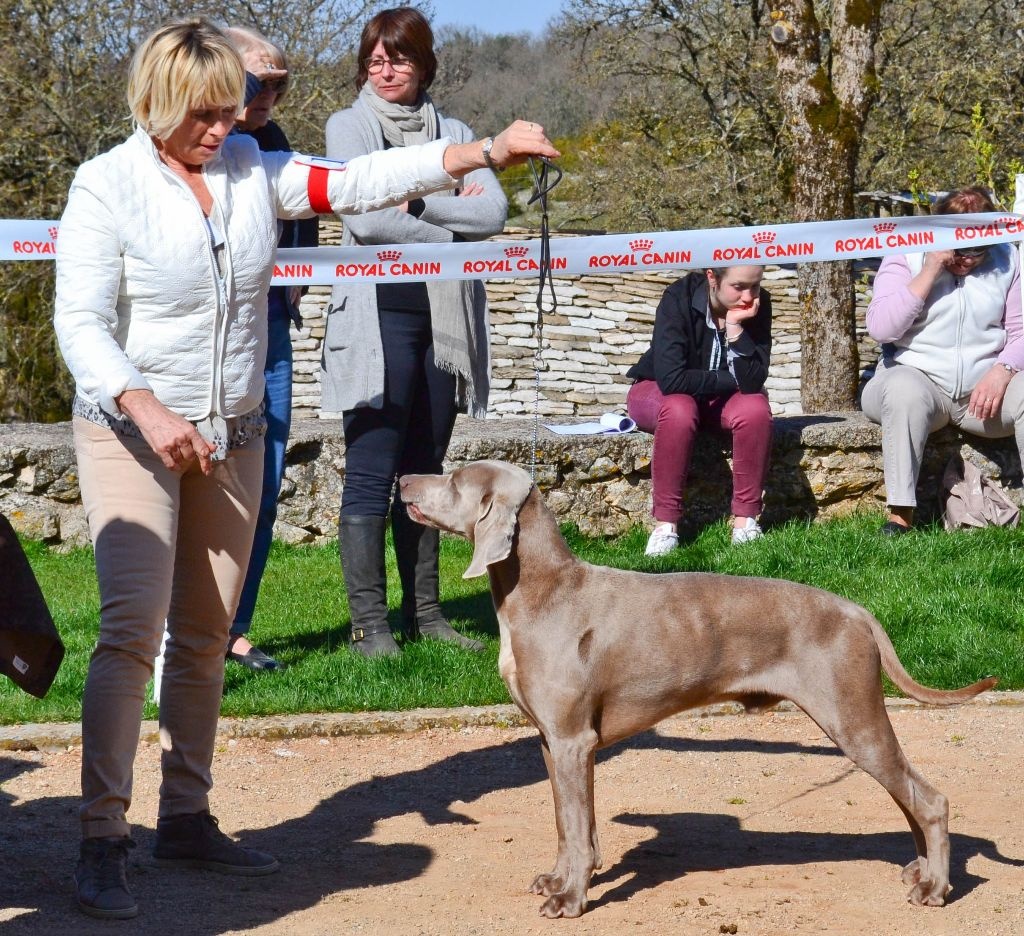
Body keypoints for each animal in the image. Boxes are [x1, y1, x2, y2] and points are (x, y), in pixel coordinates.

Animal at [397, 458, 991, 913]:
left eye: (454, 479)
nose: (402, 478)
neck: (545, 591)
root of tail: (858, 611)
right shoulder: (553, 742)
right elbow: (571, 826)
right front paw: (559, 880)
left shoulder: (572, 741)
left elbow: (578, 826)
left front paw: (571, 899)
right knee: (908, 797)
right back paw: (920, 872)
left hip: (852, 717)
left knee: (930, 800)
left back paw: (936, 888)